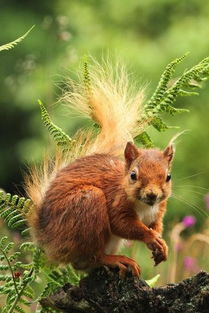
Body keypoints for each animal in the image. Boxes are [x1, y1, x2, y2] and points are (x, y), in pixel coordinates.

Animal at [27, 61, 175, 276]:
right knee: (90, 258)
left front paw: (160, 243)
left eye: (168, 176)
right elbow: (123, 225)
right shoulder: (117, 203)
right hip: (88, 206)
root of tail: (47, 240)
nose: (152, 194)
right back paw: (117, 260)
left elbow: (156, 225)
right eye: (133, 175)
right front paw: (150, 237)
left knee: (83, 264)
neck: (145, 206)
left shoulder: (158, 211)